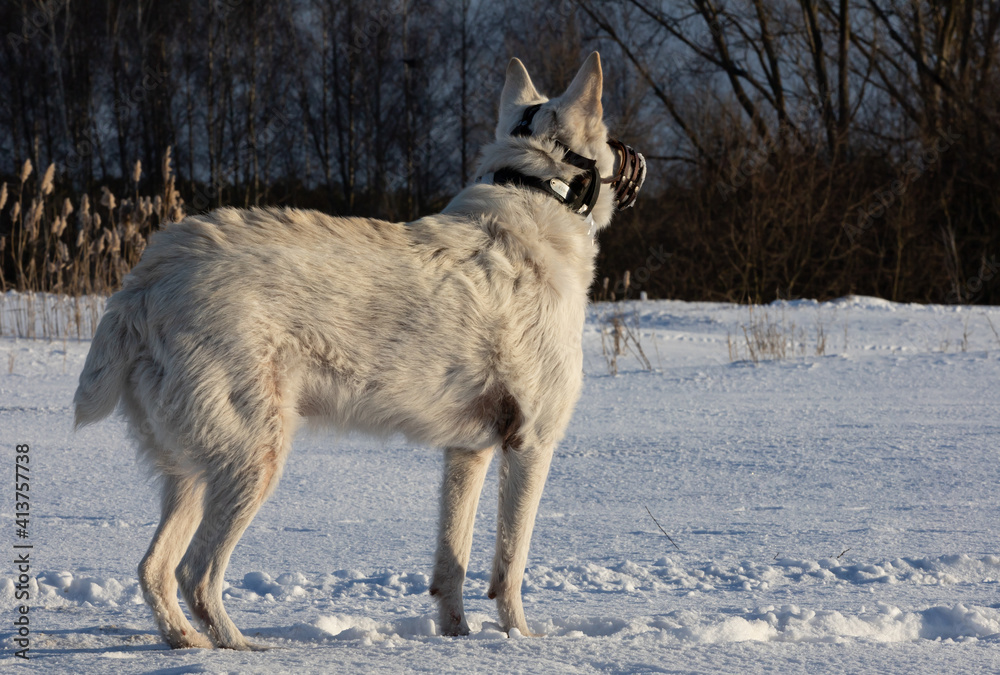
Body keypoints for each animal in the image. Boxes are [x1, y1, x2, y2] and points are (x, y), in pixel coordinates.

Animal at [74, 52, 645, 649]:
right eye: (612, 140)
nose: (640, 161)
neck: (537, 190)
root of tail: (146, 280)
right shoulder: (531, 445)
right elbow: (510, 567)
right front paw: (520, 641)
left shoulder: (468, 452)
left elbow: (452, 563)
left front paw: (457, 638)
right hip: (254, 457)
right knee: (196, 572)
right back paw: (241, 646)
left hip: (193, 468)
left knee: (154, 569)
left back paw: (187, 642)